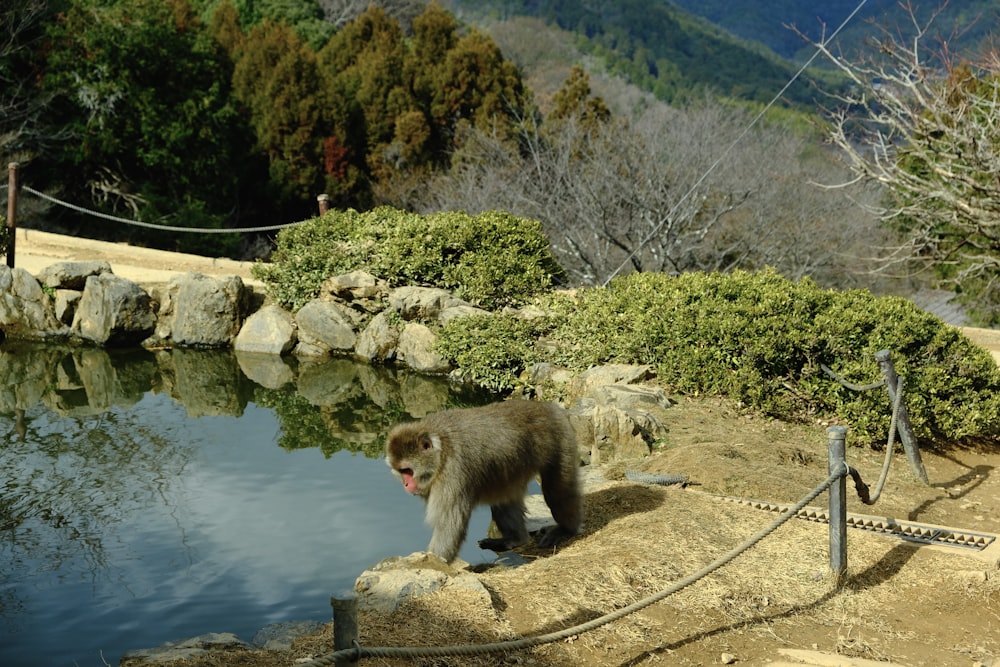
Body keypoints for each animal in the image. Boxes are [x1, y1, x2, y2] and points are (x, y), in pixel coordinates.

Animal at [386, 402, 584, 564]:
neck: (442, 451)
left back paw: (566, 529)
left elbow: (449, 525)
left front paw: (434, 562)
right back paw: (515, 539)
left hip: (560, 438)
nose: (406, 485)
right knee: (504, 497)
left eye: (407, 471)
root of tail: (549, 406)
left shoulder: (452, 473)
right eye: (401, 472)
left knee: (557, 492)